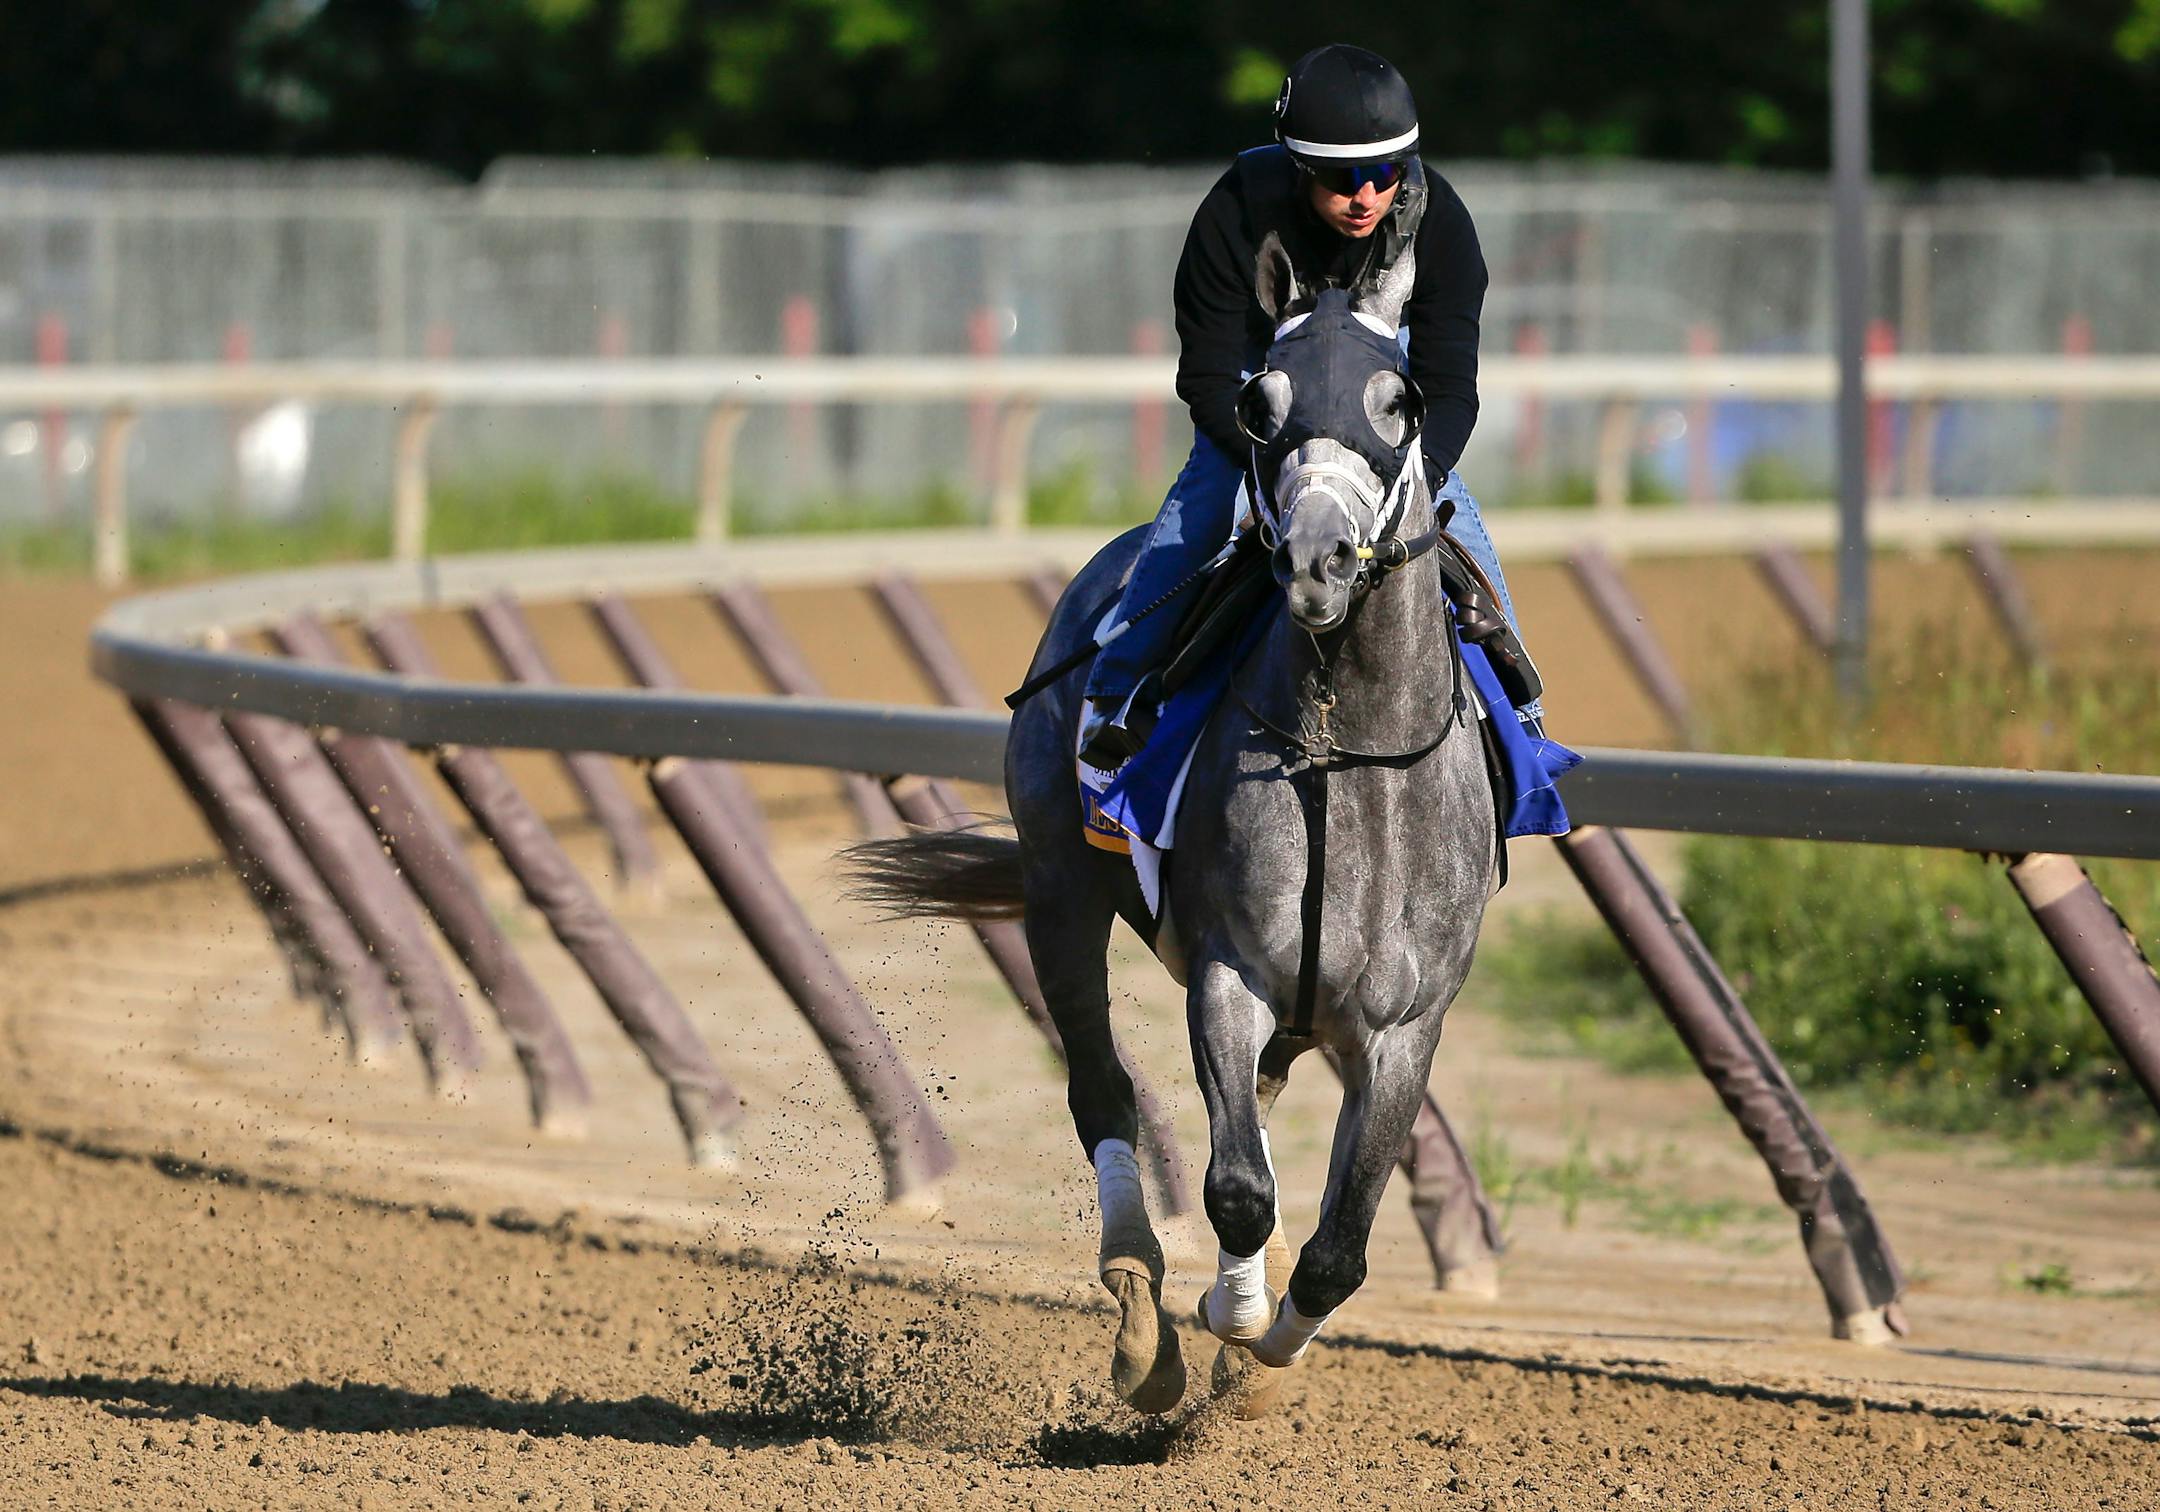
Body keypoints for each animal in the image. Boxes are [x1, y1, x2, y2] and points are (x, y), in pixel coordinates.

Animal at [847, 239, 1496, 1416]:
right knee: (1099, 1086)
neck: (1343, 752)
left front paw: (1263, 1356)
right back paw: (1141, 1308)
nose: (1319, 561)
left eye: (1401, 400)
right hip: (1061, 889)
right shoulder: (1230, 973)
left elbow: (1339, 1244)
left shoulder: (1405, 1025)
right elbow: (1237, 1187)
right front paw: (1222, 1317)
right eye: (1260, 401)